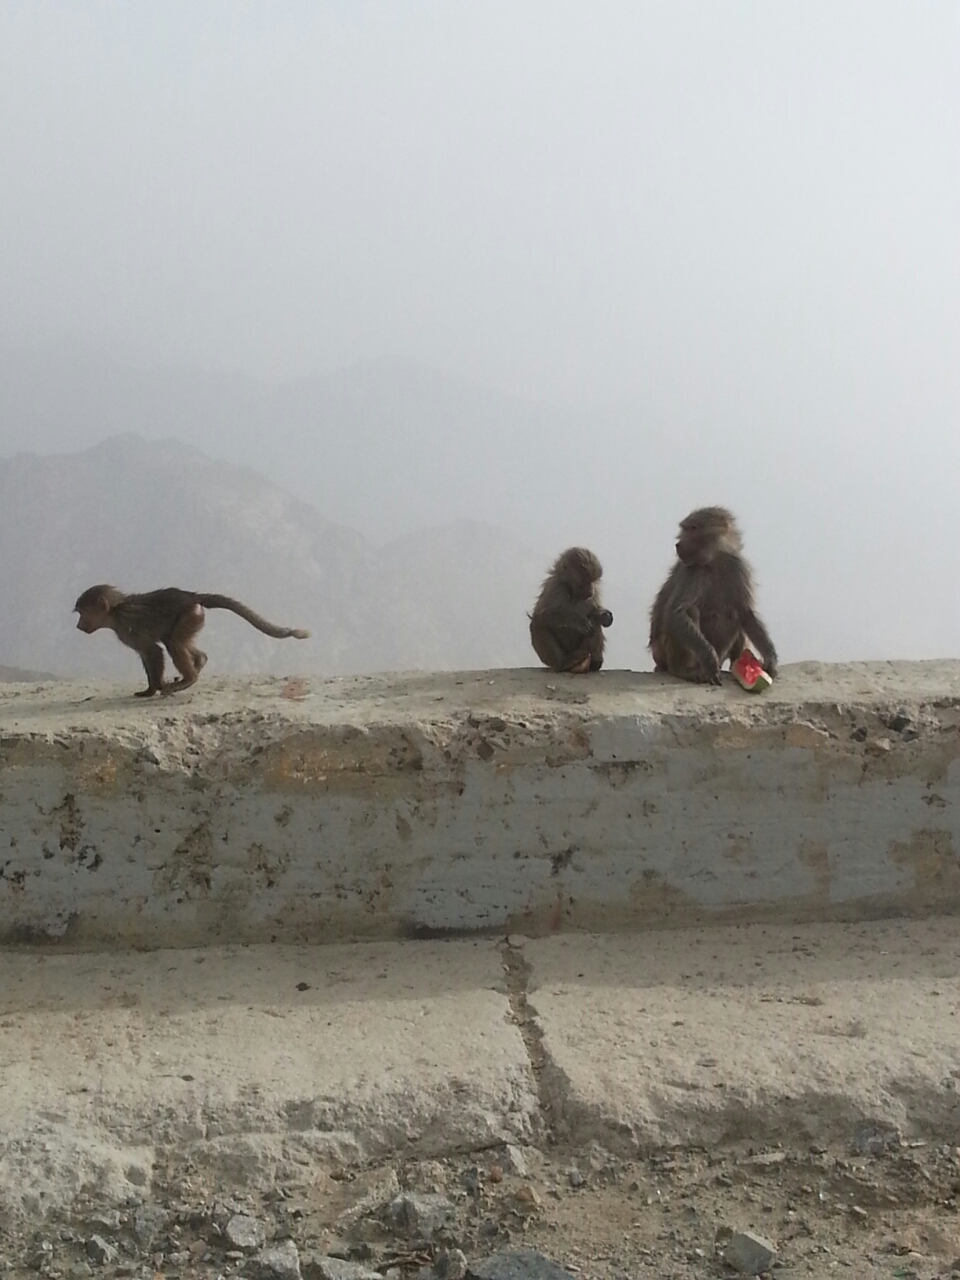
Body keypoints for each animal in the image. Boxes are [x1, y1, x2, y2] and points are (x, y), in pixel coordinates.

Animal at [74, 586, 310, 697]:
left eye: (82, 613)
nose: (78, 625)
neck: (115, 613)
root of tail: (191, 596)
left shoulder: (128, 629)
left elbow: (153, 652)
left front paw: (154, 688)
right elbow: (148, 654)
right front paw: (150, 689)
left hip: (190, 614)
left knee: (174, 644)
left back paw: (189, 679)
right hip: (194, 616)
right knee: (175, 640)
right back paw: (199, 662)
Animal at [648, 506, 777, 686]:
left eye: (693, 528)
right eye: (685, 529)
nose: (678, 545)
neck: (715, 560)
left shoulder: (738, 566)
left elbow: (745, 612)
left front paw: (770, 658)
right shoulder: (692, 570)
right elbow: (677, 612)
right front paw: (709, 658)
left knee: (735, 614)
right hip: (663, 652)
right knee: (691, 611)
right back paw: (683, 670)